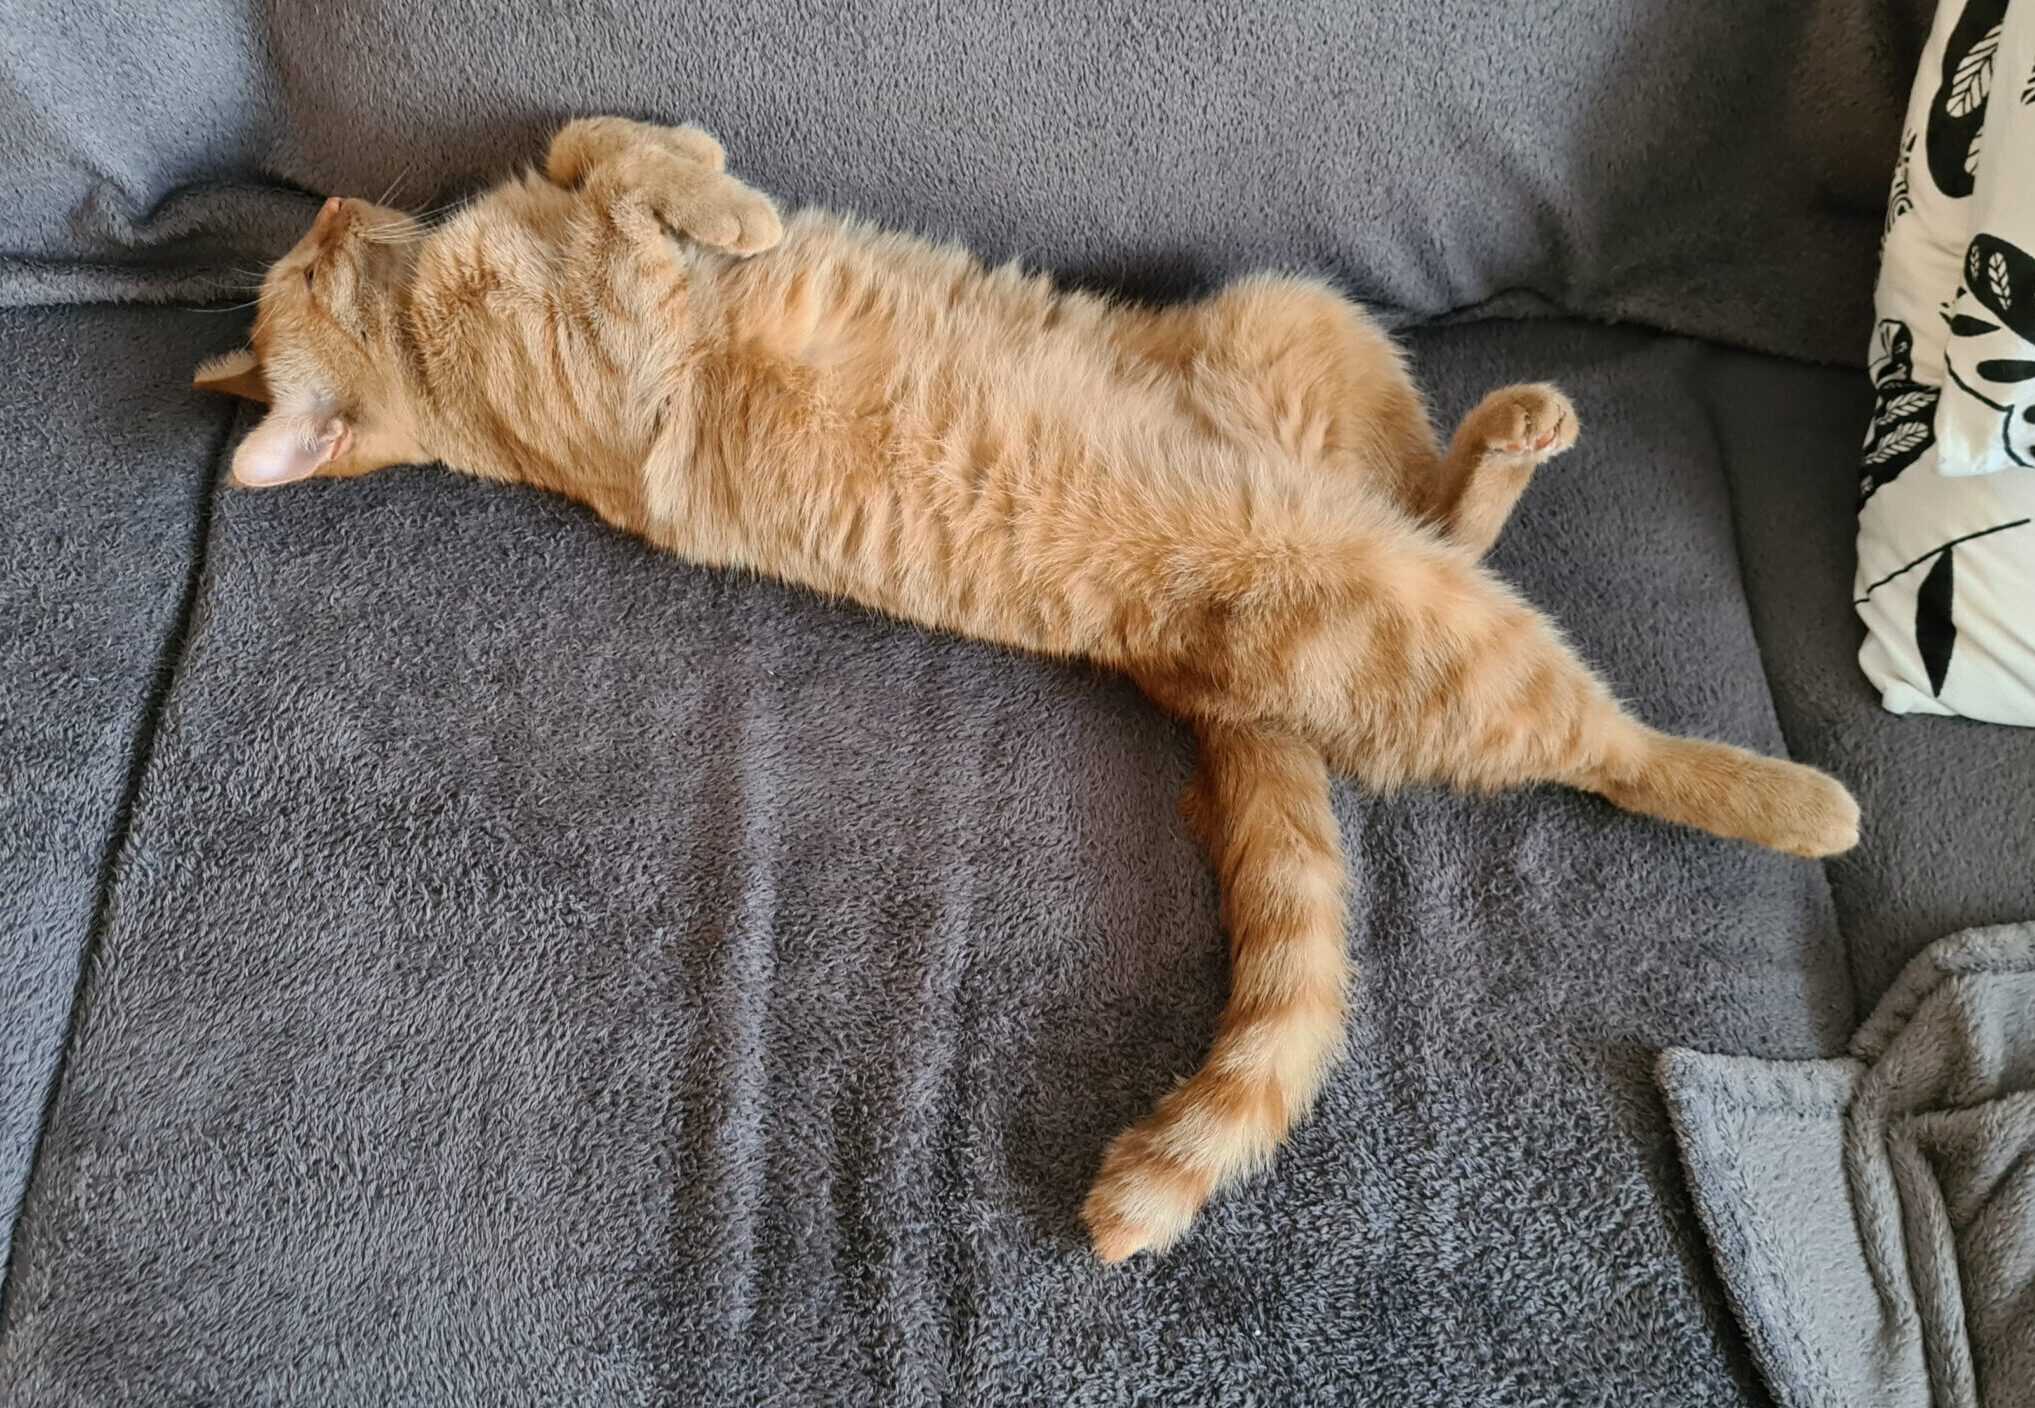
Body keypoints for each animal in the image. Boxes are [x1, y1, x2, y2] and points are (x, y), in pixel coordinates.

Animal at [194, 116, 1860, 1262]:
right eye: (301, 268)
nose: (327, 202)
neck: (439, 328)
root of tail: (1195, 679)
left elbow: (587, 138)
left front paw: (697, 174)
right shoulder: (624, 328)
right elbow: (618, 177)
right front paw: (724, 199)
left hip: (1295, 316)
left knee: (1436, 497)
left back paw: (1510, 433)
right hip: (1415, 612)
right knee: (1591, 731)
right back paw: (1789, 796)